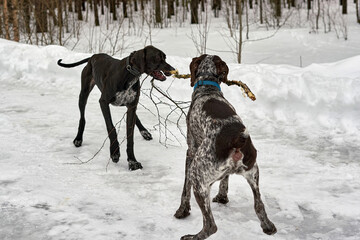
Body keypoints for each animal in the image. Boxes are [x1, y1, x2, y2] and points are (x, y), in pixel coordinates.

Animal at [174, 54, 276, 240]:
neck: (208, 88)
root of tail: (238, 139)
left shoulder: (191, 151)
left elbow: (185, 189)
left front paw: (182, 211)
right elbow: (225, 180)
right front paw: (222, 197)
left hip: (197, 176)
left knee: (211, 226)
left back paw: (193, 236)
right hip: (254, 172)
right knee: (259, 205)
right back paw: (268, 226)